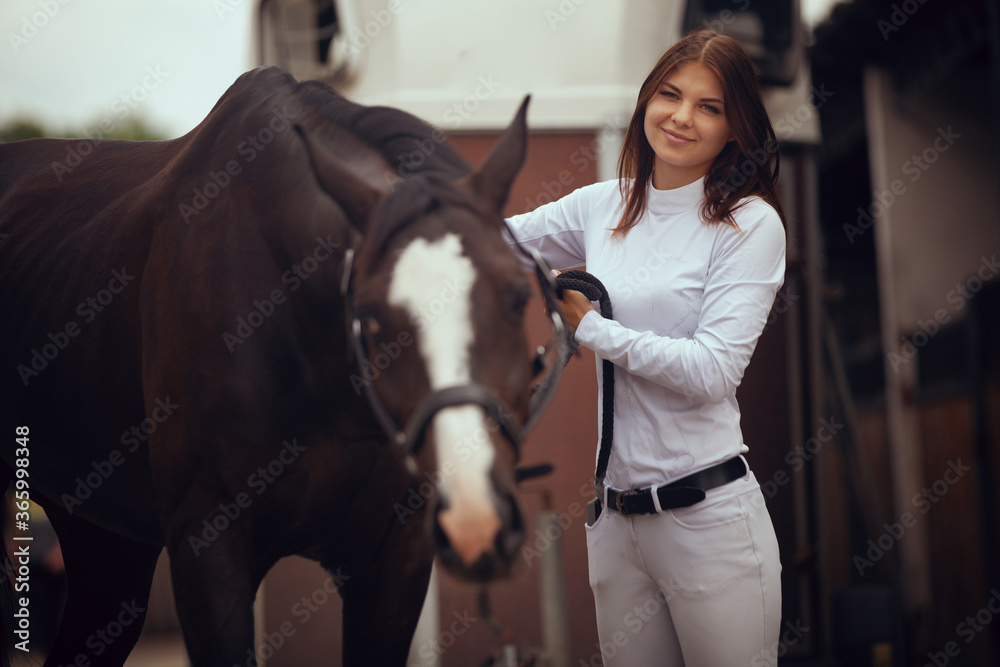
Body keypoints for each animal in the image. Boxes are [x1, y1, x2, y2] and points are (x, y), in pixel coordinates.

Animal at [0, 65, 564, 664]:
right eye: (369, 316)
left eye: (518, 297)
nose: (476, 521)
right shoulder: (208, 549)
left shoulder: (397, 557)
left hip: (107, 542)